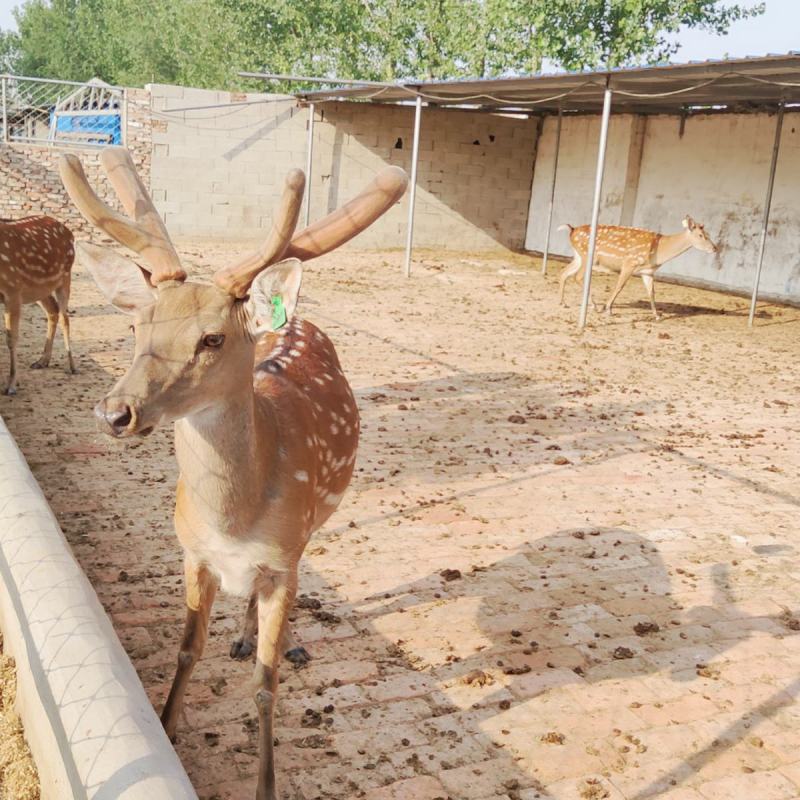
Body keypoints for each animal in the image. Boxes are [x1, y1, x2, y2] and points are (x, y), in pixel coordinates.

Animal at [0, 216, 76, 395]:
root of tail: (70, 233)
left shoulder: (13, 290)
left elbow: (11, 338)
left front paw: (11, 385)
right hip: (39, 289)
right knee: (53, 311)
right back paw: (42, 361)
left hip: (65, 276)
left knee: (65, 317)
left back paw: (71, 365)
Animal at [59, 146, 408, 800]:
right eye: (136, 327)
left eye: (212, 339)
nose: (115, 412)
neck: (235, 520)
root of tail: (291, 319)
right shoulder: (192, 553)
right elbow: (185, 650)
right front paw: (168, 726)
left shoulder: (281, 558)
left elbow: (266, 684)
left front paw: (267, 784)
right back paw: (243, 634)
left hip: (317, 518)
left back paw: (283, 640)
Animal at [557, 216, 718, 320]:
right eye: (701, 235)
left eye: (708, 233)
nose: (715, 248)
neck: (658, 253)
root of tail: (572, 230)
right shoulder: (630, 263)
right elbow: (619, 287)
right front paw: (608, 310)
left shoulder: (648, 272)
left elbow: (651, 293)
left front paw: (657, 315)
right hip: (588, 256)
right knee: (577, 276)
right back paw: (595, 306)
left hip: (578, 256)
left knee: (564, 272)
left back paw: (563, 303)